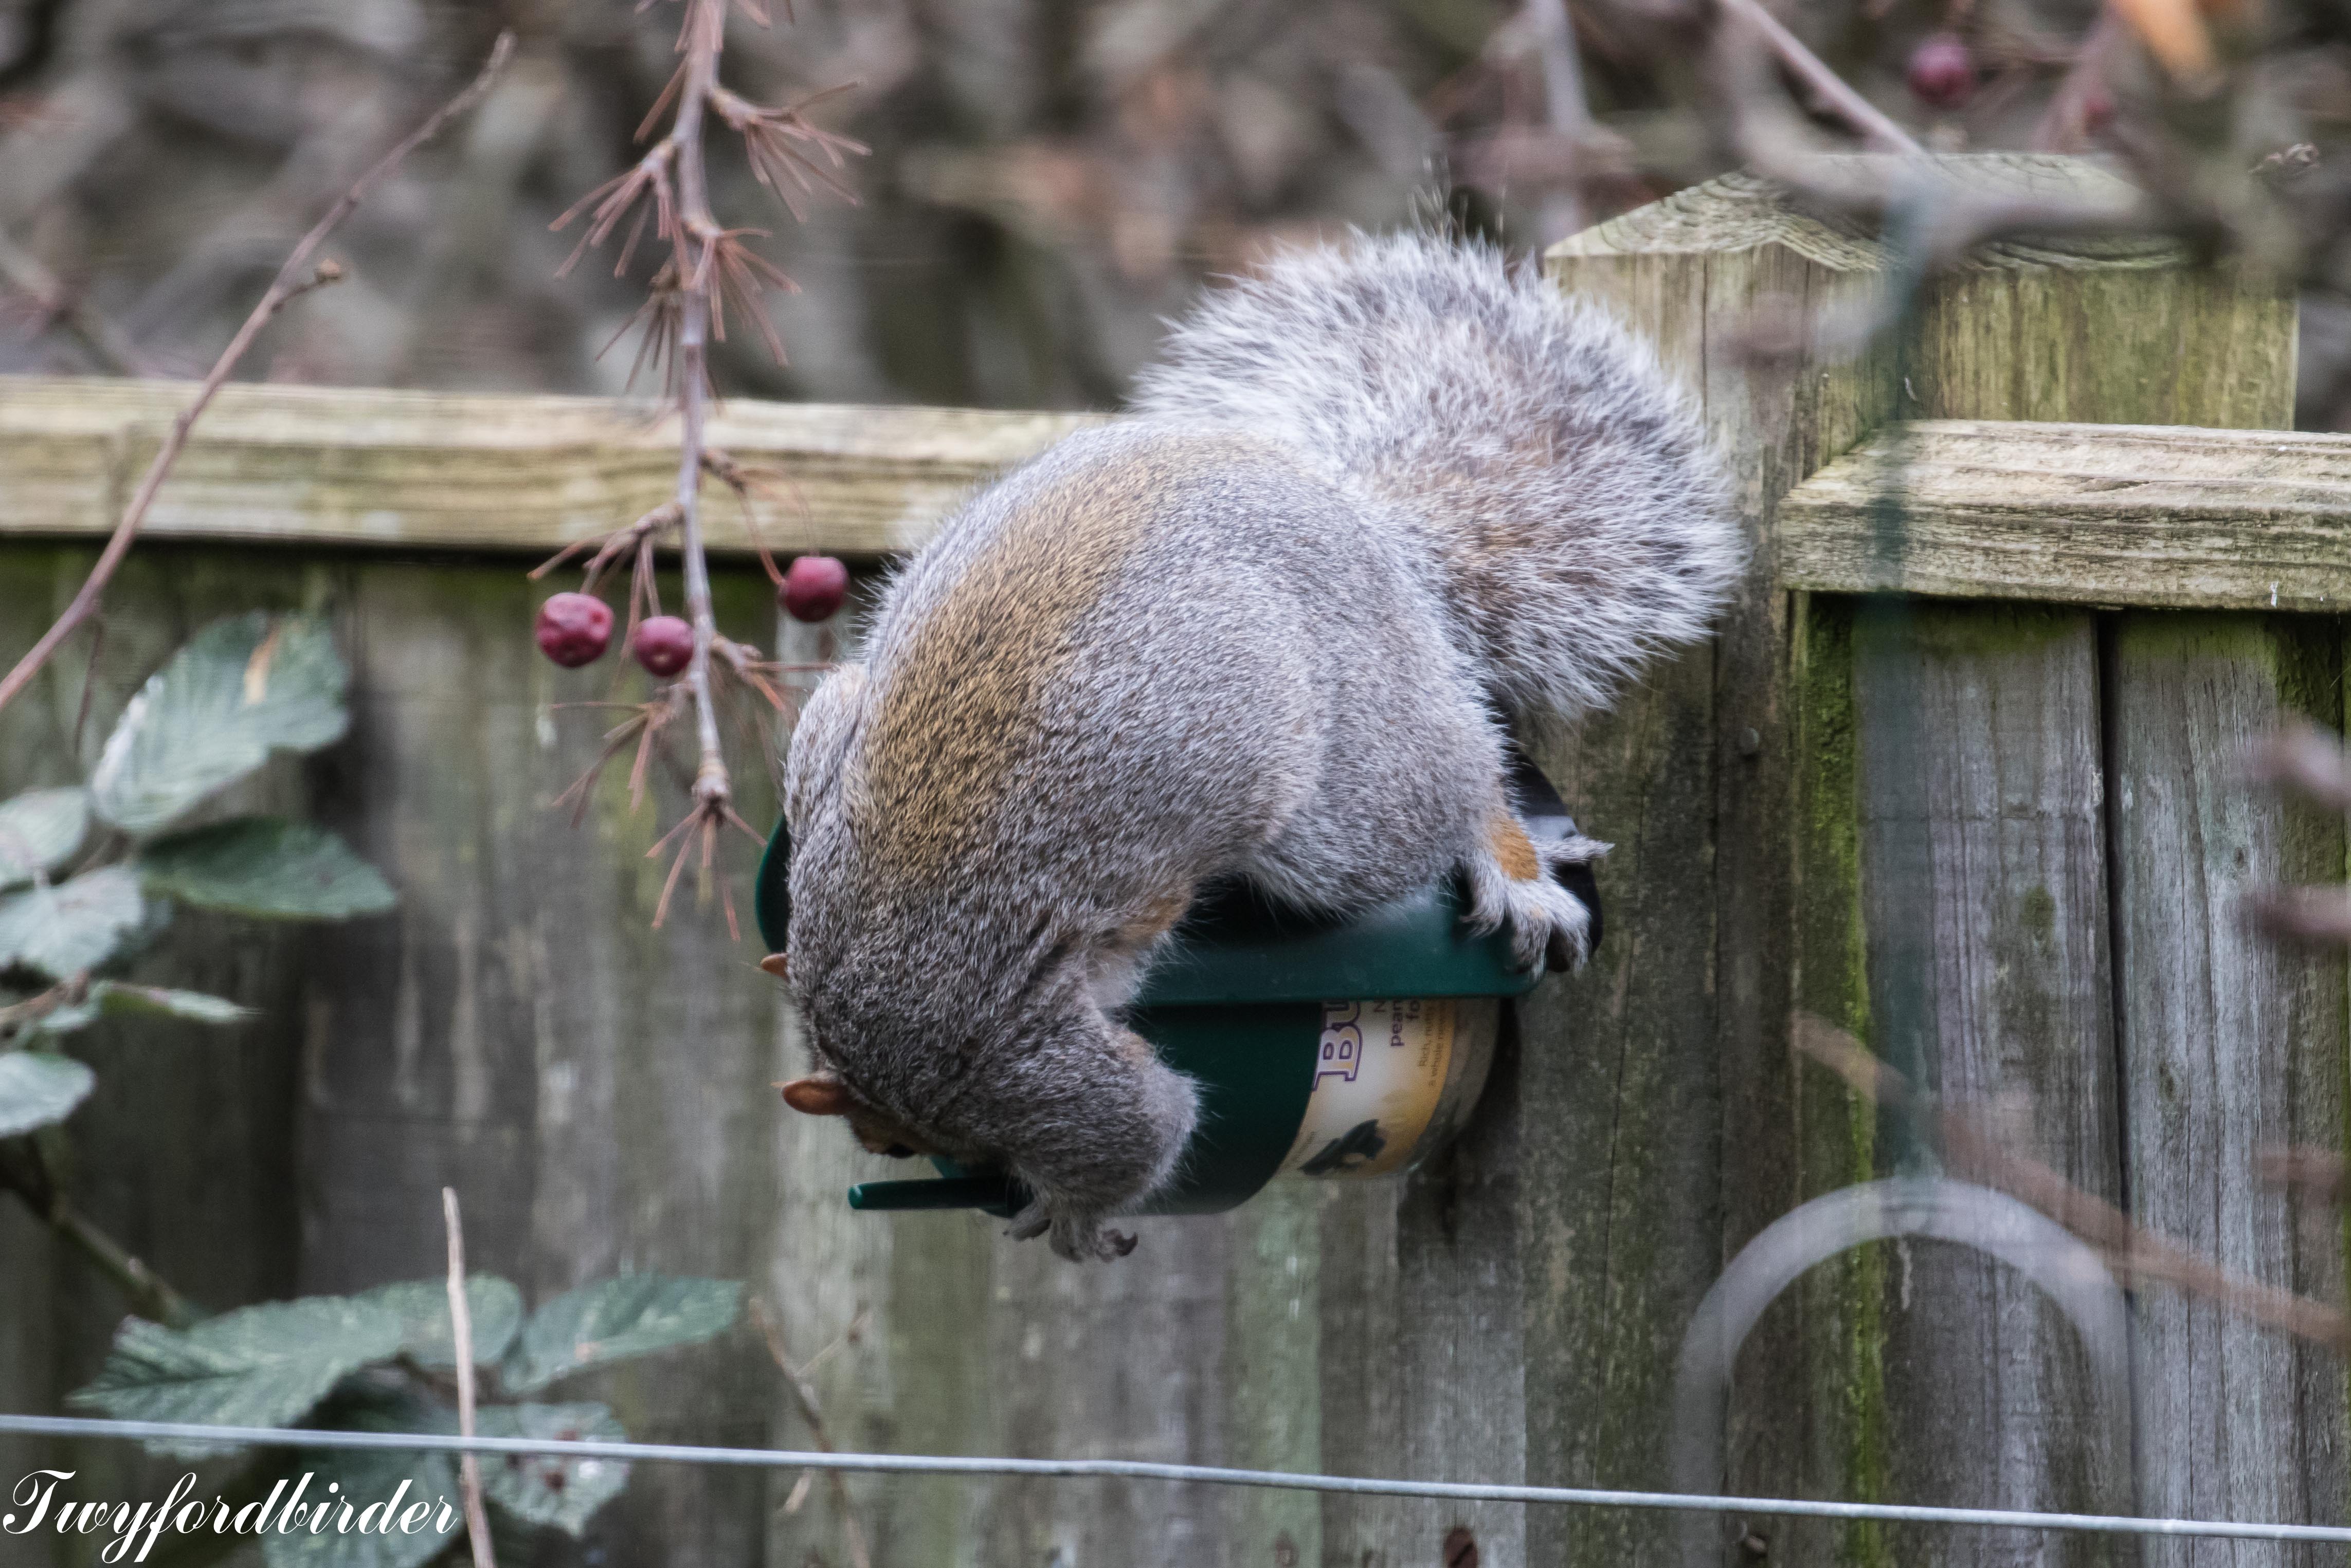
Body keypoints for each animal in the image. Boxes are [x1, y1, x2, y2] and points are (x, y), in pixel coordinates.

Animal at [771, 230, 1749, 1260]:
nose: (892, 1151)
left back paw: (1506, 860)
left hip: (1339, 815)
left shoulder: (1020, 1071)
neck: (861, 1023)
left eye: (887, 1138)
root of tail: (1365, 519)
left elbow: (1141, 1126)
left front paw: (1073, 1216)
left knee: (1454, 780)